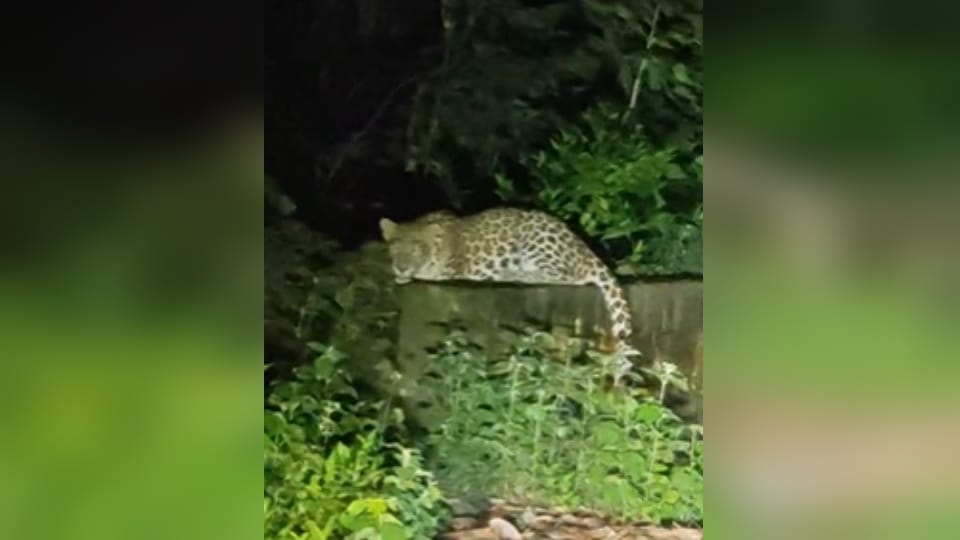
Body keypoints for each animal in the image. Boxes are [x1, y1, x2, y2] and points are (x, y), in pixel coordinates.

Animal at [379, 207, 641, 370]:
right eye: (394, 247)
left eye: (416, 248)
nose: (401, 267)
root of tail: (586, 249)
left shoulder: (453, 271)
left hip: (539, 239)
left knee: (570, 277)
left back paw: (511, 273)